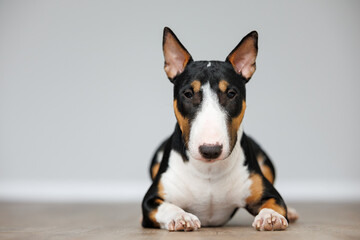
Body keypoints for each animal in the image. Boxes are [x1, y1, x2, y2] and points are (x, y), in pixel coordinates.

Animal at [141, 26, 298, 231]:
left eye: (231, 93)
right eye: (188, 93)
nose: (210, 150)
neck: (209, 171)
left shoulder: (270, 194)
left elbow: (275, 203)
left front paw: (270, 216)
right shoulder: (150, 201)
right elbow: (166, 206)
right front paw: (181, 217)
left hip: (266, 162)